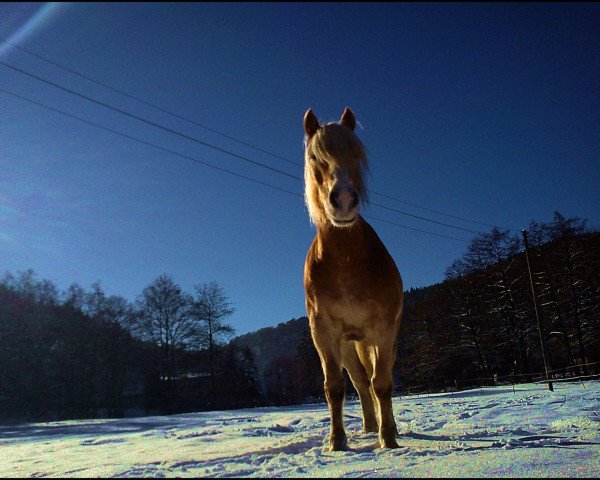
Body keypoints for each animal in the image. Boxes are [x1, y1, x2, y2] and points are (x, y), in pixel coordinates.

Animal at [302, 108, 406, 450]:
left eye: (357, 154)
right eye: (315, 157)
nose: (345, 199)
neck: (346, 263)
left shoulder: (383, 330)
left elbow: (382, 383)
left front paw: (389, 439)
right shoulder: (324, 334)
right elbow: (335, 387)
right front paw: (337, 441)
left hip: (377, 341)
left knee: (374, 379)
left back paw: (386, 428)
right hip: (348, 346)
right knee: (361, 382)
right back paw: (369, 427)